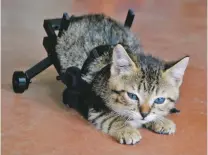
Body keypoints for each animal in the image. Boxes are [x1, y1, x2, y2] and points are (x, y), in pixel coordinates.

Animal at [55, 13, 190, 145]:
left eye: (160, 100)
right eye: (132, 96)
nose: (144, 114)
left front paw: (160, 120)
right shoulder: (92, 103)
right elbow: (110, 116)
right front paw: (127, 129)